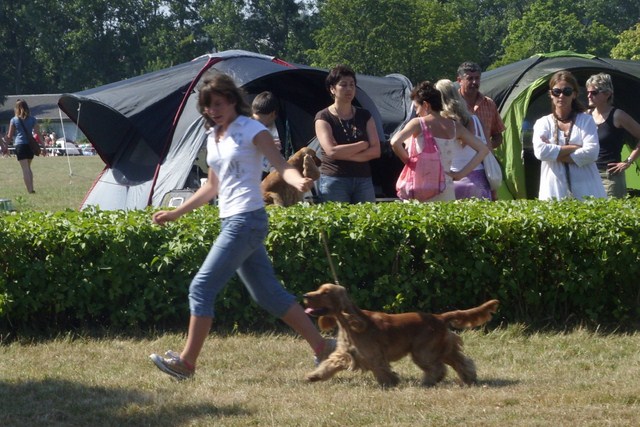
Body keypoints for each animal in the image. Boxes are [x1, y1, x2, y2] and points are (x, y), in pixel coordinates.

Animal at [304, 283, 499, 387]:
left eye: (325, 293)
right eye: (318, 289)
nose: (305, 295)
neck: (349, 322)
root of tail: (439, 317)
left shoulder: (373, 355)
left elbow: (382, 370)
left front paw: (390, 382)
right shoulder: (344, 354)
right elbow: (329, 364)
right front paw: (314, 376)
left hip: (423, 352)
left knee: (438, 368)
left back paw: (428, 381)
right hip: (442, 348)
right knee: (462, 362)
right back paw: (469, 378)